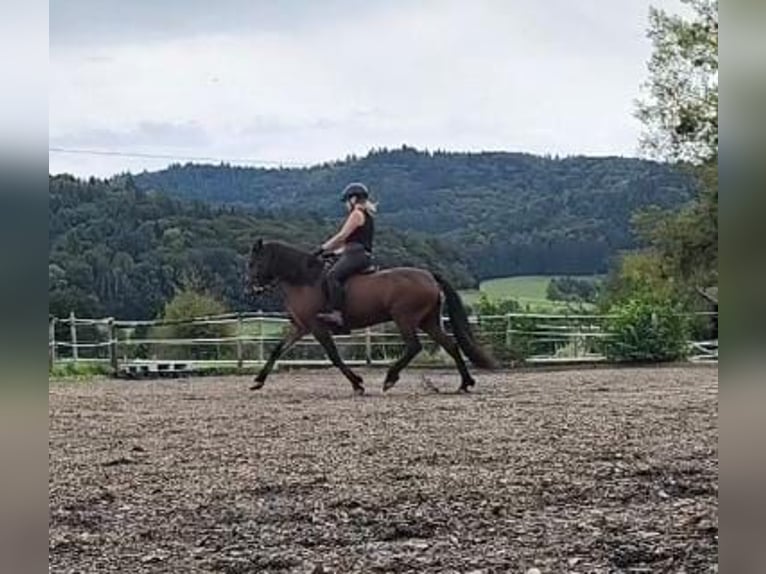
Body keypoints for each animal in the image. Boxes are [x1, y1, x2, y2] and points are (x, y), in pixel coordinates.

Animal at [248, 240, 498, 396]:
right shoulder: (301, 326)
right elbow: (277, 350)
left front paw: (357, 384)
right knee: (451, 345)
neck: (304, 280)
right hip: (428, 321)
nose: (250, 288)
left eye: (255, 262)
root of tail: (428, 275)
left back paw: (390, 378)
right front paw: (258, 381)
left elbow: (334, 356)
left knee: (414, 346)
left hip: (404, 318)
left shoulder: (317, 327)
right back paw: (465, 383)